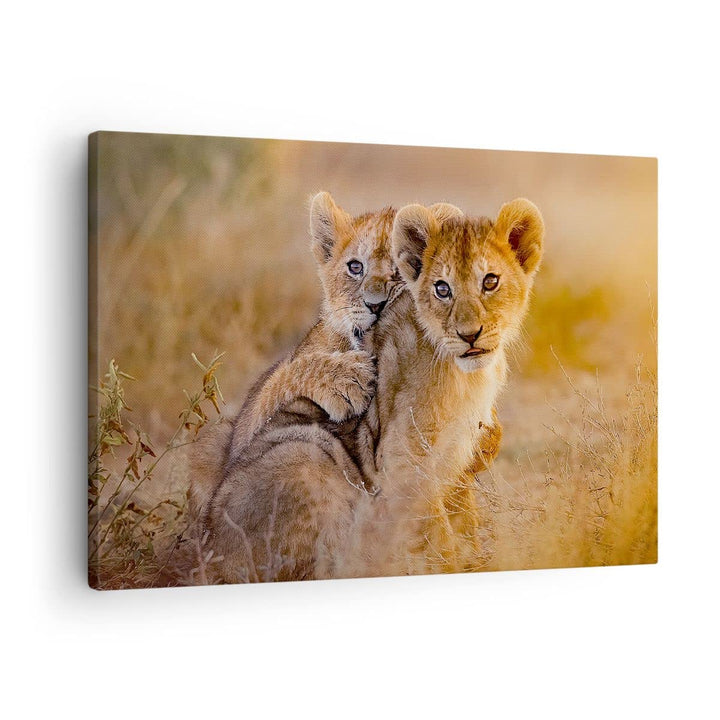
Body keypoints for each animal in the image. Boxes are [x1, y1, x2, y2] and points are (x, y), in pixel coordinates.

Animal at [202, 197, 540, 583]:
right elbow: (439, 535)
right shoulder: (402, 465)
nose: (469, 335)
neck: (467, 374)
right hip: (307, 457)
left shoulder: (454, 463)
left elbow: (463, 518)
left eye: (490, 282)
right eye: (442, 289)